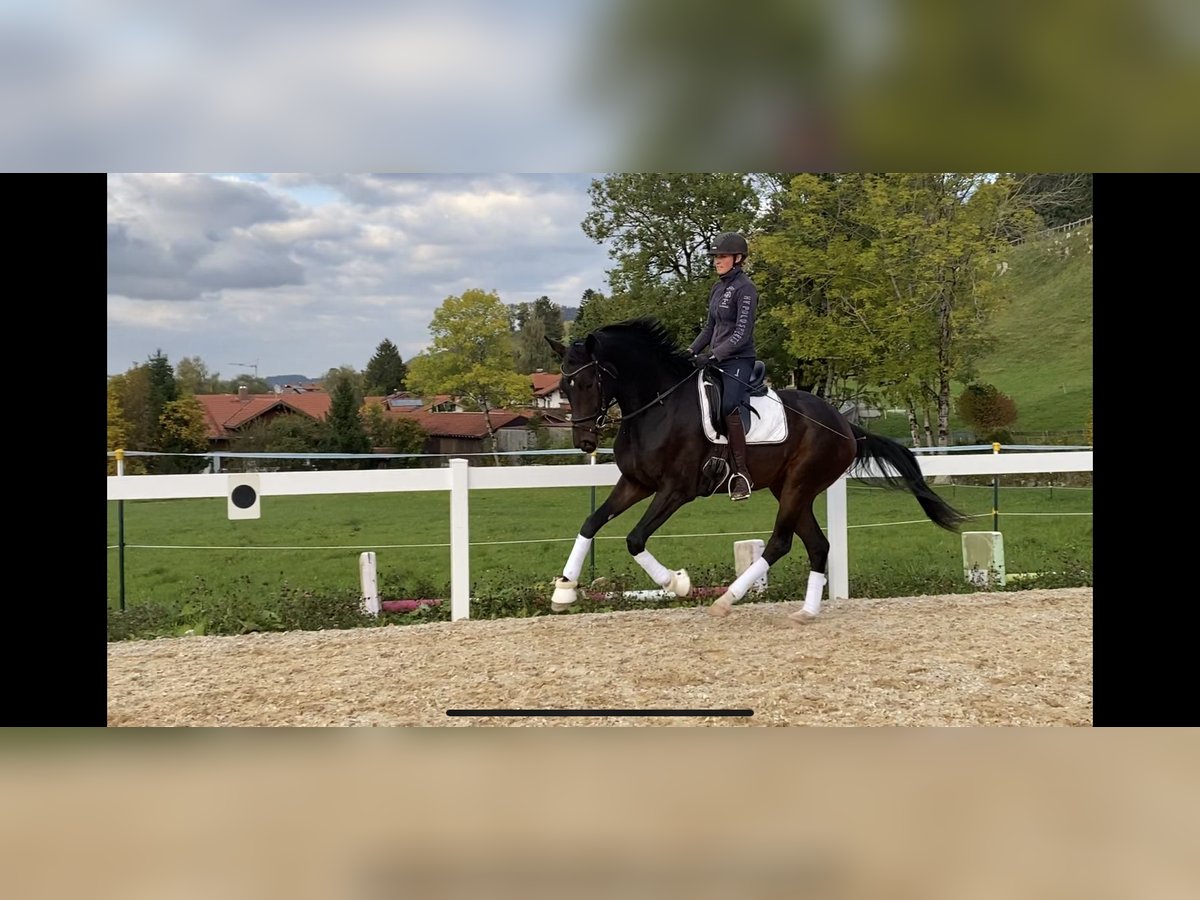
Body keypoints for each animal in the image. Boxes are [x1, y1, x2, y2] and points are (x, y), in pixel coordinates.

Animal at [549, 321, 969, 624]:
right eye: (564, 387)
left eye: (587, 382)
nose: (585, 441)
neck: (657, 407)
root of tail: (846, 426)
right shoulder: (635, 483)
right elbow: (591, 523)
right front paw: (564, 590)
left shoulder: (676, 490)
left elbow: (635, 539)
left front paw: (679, 584)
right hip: (791, 490)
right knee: (817, 546)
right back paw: (806, 612)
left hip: (798, 486)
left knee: (779, 543)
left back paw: (726, 599)